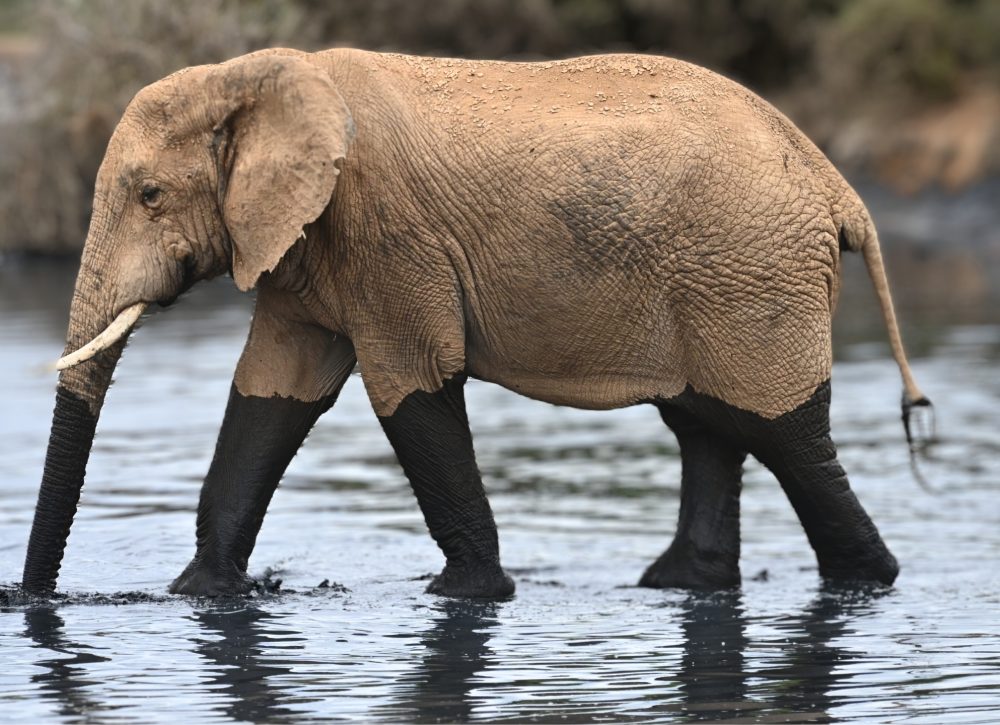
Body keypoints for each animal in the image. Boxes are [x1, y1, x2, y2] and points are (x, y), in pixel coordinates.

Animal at [22, 47, 930, 599]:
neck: (254, 76)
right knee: (709, 422)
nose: (30, 598)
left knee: (782, 431)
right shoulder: (301, 249)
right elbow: (273, 392)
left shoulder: (385, 235)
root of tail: (836, 184)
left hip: (751, 276)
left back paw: (866, 580)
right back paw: (676, 584)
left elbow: (412, 384)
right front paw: (202, 594)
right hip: (728, 276)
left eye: (149, 195)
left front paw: (463, 596)